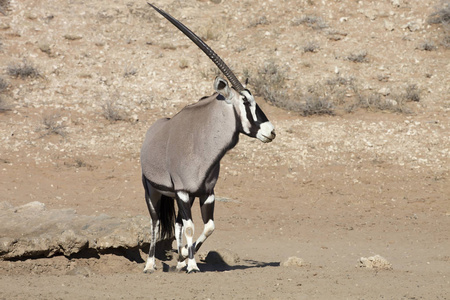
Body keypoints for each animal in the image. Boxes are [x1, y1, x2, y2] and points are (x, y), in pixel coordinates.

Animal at [141, 2, 276, 274]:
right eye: (245, 102)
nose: (270, 131)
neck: (202, 144)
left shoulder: (205, 193)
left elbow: (208, 226)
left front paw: (185, 257)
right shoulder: (183, 192)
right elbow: (191, 227)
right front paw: (192, 264)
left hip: (179, 196)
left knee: (178, 224)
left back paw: (179, 259)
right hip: (153, 190)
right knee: (155, 222)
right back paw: (150, 264)